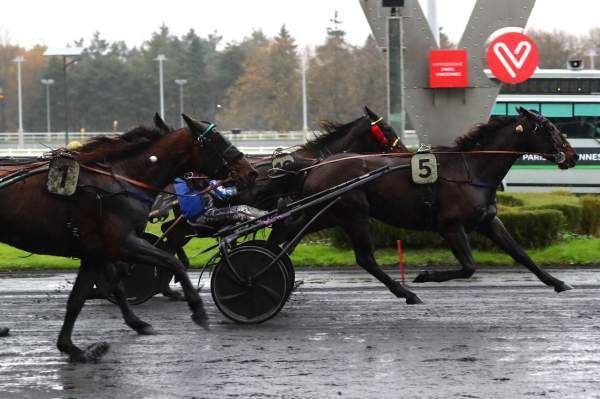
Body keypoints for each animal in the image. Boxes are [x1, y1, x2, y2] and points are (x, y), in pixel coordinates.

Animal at [0, 112, 255, 362]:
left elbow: (82, 298)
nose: (250, 171)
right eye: (216, 140)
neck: (120, 181)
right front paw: (198, 310)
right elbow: (170, 262)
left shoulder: (95, 252)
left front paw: (74, 347)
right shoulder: (122, 244)